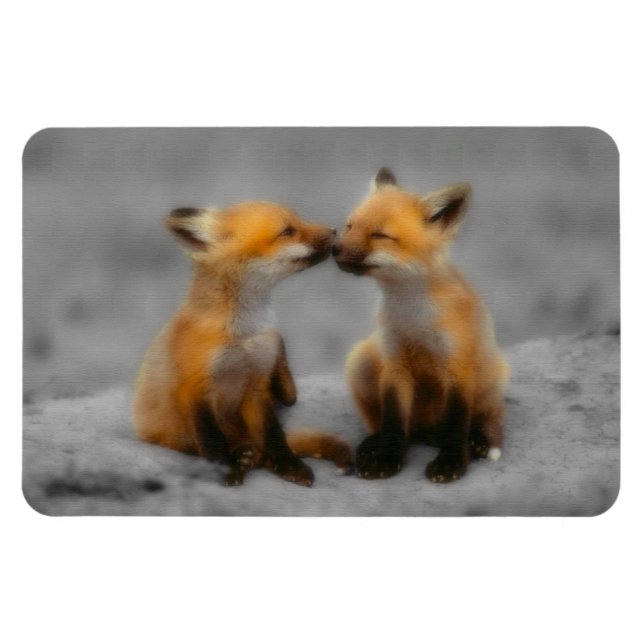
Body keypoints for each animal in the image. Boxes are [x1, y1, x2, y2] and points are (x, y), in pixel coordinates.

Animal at [133, 201, 352, 487]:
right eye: (287, 231)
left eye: (299, 220)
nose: (335, 231)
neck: (243, 335)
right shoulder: (194, 389)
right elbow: (211, 439)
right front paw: (224, 470)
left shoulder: (257, 382)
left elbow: (274, 434)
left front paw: (288, 465)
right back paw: (242, 455)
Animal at [333, 168, 509, 483]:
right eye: (349, 226)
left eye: (380, 235)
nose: (332, 247)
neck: (413, 316)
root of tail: (427, 430)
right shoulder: (394, 363)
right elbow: (392, 424)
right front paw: (387, 459)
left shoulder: (457, 367)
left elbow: (456, 425)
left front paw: (450, 464)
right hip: (360, 360)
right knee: (390, 427)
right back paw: (372, 444)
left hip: (494, 374)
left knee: (489, 415)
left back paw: (478, 439)